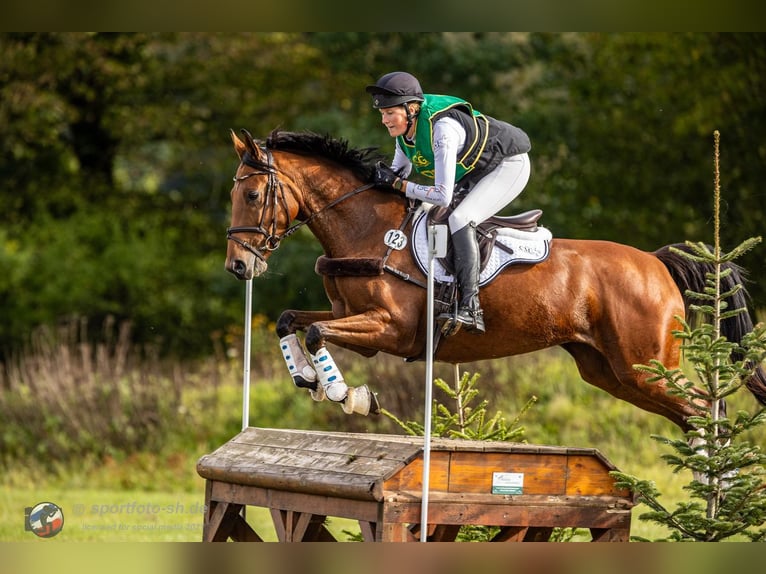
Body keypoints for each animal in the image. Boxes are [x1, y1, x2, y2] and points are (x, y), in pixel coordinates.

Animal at [225, 128, 766, 428]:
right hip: (612, 371)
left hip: (645, 365)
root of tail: (656, 261)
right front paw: (309, 379)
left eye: (251, 196)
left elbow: (316, 331)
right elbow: (291, 320)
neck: (367, 230)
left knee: (706, 409)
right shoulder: (352, 318)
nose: (239, 267)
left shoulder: (389, 329)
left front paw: (347, 396)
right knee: (693, 416)